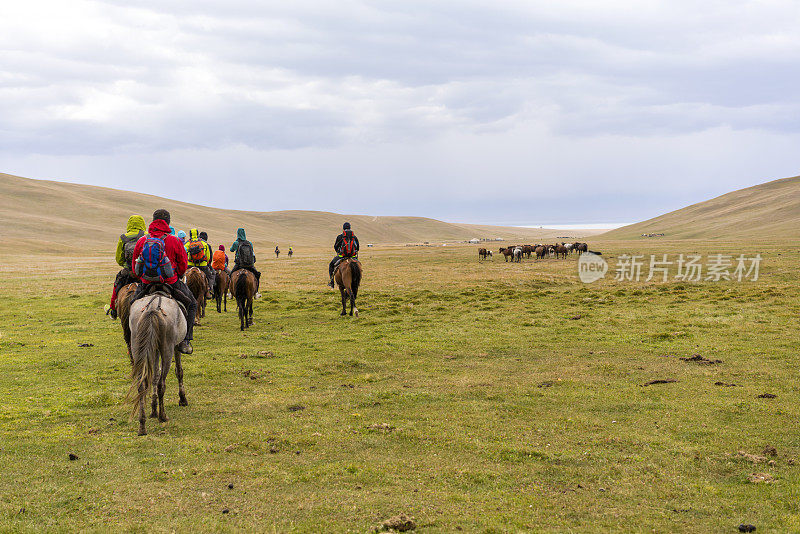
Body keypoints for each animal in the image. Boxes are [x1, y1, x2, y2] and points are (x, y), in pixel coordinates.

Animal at [129, 292, 190, 438]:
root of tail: (152, 307)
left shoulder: (154, 349)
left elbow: (155, 376)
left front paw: (153, 409)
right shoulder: (176, 346)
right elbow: (179, 371)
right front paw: (182, 399)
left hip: (138, 347)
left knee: (142, 385)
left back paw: (142, 425)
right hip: (167, 348)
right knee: (162, 383)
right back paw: (162, 416)